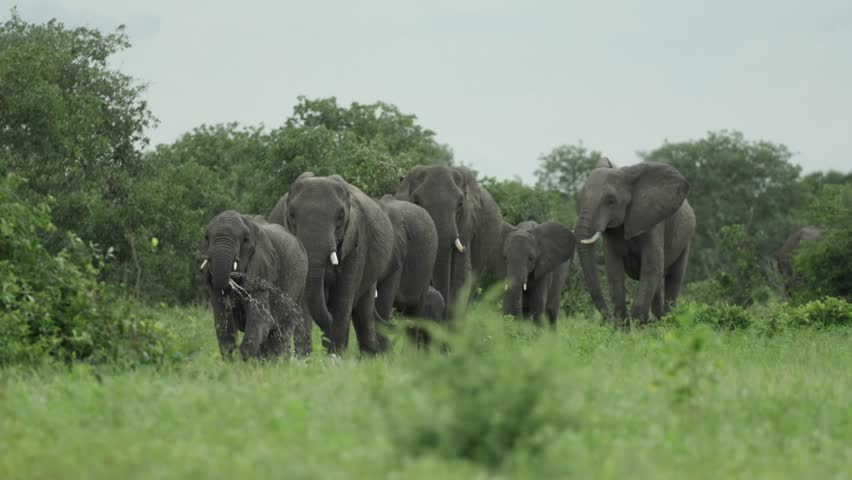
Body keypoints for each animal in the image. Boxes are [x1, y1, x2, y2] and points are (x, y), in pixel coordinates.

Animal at [202, 211, 310, 360]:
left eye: (245, 240)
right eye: (206, 237)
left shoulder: (262, 268)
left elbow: (259, 321)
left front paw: (242, 362)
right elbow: (223, 322)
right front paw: (231, 362)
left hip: (299, 285)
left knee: (282, 330)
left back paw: (279, 362)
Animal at [269, 173, 394, 354]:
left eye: (340, 217)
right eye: (291, 215)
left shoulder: (356, 241)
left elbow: (343, 298)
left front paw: (336, 356)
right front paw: (305, 358)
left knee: (363, 311)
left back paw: (370, 355)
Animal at [574, 158, 695, 326]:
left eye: (611, 201)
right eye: (580, 198)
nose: (609, 320)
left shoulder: (653, 221)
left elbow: (651, 265)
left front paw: (638, 326)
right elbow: (613, 268)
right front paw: (622, 328)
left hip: (686, 238)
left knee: (673, 277)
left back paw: (666, 321)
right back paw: (656, 322)